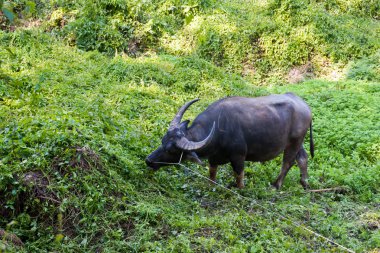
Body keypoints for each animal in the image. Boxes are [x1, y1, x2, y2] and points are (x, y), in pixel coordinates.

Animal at [145, 93, 314, 190]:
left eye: (171, 150)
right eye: (163, 141)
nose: (149, 160)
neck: (220, 128)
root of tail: (305, 106)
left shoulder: (238, 157)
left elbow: (239, 177)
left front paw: (239, 189)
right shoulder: (213, 158)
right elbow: (212, 173)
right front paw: (210, 186)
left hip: (294, 142)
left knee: (288, 162)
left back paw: (276, 185)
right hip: (298, 142)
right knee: (302, 158)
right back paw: (304, 182)